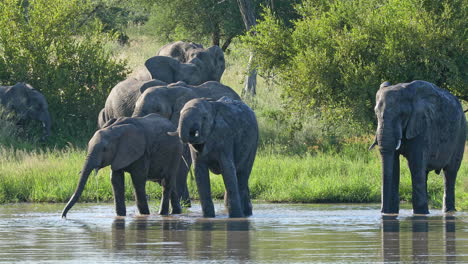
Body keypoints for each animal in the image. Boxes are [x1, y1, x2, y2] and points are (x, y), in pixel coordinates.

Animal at [372, 80, 466, 214]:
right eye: (376, 114)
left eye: (402, 114)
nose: (382, 211)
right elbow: (394, 165)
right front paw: (391, 214)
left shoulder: (423, 125)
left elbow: (415, 163)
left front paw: (420, 214)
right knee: (425, 172)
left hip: (461, 133)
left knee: (450, 172)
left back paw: (448, 211)